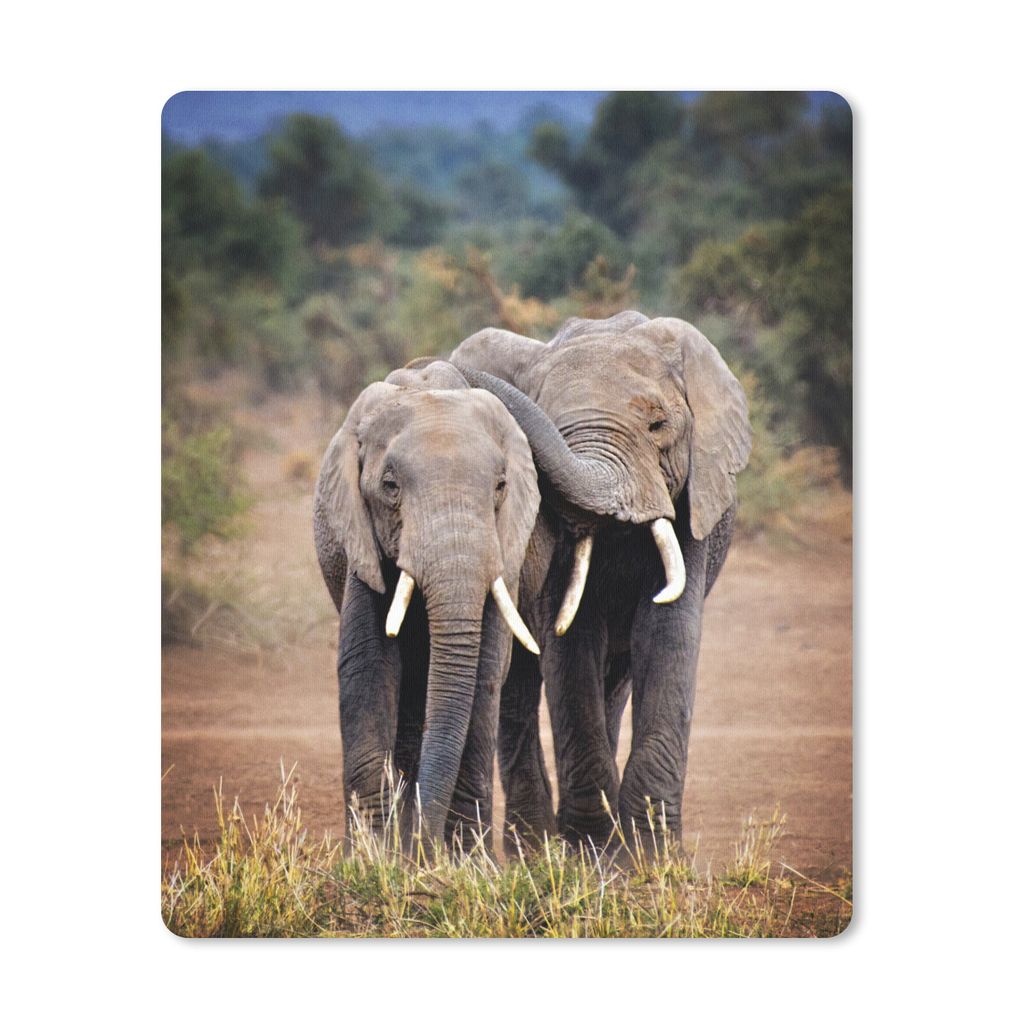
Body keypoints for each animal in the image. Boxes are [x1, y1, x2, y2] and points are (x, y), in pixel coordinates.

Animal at [313, 359, 543, 847]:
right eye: (390, 486)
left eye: (500, 486)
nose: (424, 846)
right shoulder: (362, 541)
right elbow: (368, 664)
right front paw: (372, 856)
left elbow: (484, 672)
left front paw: (464, 859)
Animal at [449, 311, 752, 852]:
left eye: (658, 425)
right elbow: (571, 642)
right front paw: (590, 851)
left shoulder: (692, 500)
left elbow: (668, 634)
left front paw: (650, 855)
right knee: (519, 687)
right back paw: (533, 848)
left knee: (615, 681)